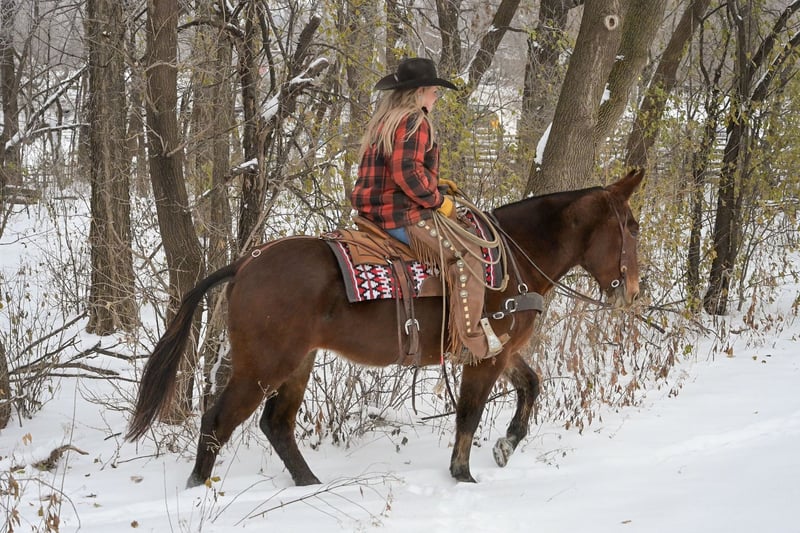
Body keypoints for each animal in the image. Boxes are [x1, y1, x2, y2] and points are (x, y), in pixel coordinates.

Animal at [126, 168, 644, 487]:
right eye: (632, 226)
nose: (633, 292)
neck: (510, 258)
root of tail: (244, 264)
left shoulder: (503, 349)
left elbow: (531, 387)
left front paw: (505, 446)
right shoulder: (485, 355)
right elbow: (469, 413)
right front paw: (463, 474)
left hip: (298, 362)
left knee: (277, 424)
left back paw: (308, 484)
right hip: (264, 365)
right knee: (218, 421)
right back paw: (199, 486)